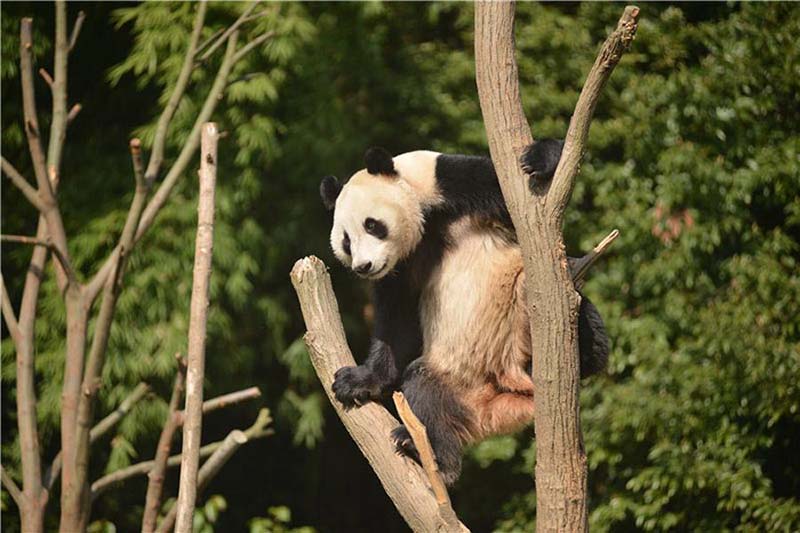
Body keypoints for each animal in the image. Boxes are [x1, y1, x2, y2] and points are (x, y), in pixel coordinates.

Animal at [319, 139, 608, 484]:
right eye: (346, 242)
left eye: (372, 225)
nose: (364, 266)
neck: (425, 222)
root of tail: (502, 399)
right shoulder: (400, 268)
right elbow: (396, 324)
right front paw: (356, 381)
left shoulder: (447, 184)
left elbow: (518, 190)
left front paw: (540, 158)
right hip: (453, 380)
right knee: (425, 391)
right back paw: (426, 450)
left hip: (526, 313)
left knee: (586, 318)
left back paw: (582, 351)